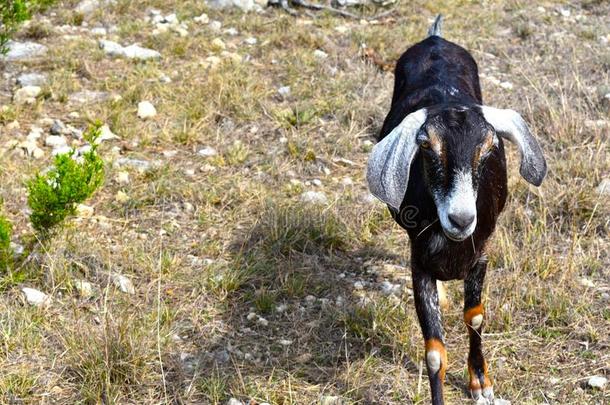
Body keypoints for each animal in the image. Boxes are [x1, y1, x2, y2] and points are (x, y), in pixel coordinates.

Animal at [366, 14, 548, 402]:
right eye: (425, 146)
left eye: (490, 147)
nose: (461, 219)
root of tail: (436, 38)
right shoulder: (419, 262)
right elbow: (434, 353)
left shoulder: (482, 254)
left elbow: (475, 316)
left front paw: (480, 382)